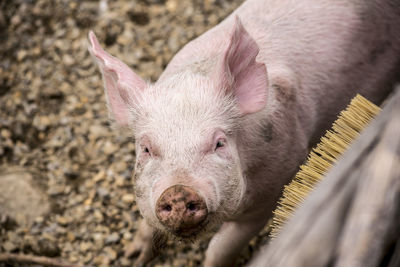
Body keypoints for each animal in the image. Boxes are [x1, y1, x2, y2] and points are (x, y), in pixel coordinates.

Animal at [87, 0, 400, 266]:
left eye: (219, 143)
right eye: (146, 148)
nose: (176, 191)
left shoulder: (275, 186)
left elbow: (221, 247)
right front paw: (131, 256)